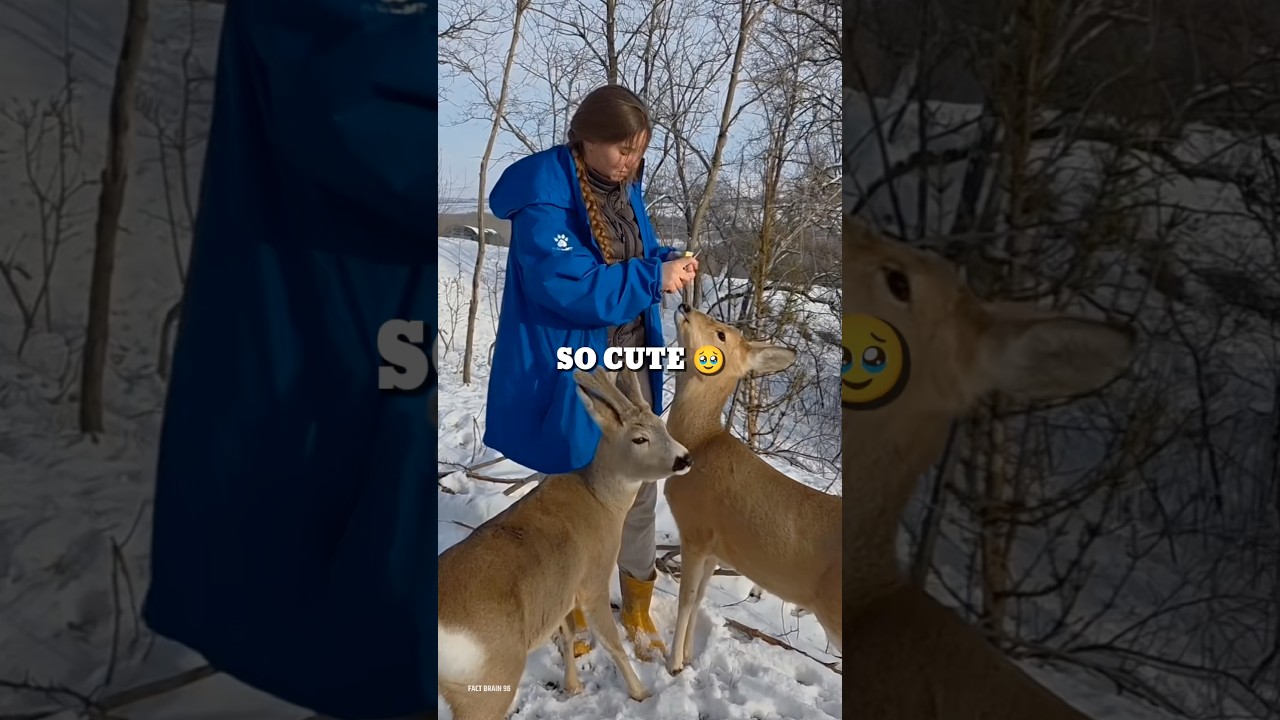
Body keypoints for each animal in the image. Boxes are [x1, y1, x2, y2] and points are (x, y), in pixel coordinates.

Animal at [437, 368, 694, 720]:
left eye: (662, 424)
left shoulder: (563, 590)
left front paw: (573, 686)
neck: (601, 500)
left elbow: (569, 634)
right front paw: (641, 692)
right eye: (640, 438)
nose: (685, 458)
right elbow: (611, 641)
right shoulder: (593, 578)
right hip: (489, 684)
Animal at [663, 303, 842, 675]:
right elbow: (699, 598)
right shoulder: (715, 547)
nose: (686, 306)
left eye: (721, 334)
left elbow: (686, 598)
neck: (698, 442)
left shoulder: (696, 529)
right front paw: (688, 657)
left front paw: (673, 665)